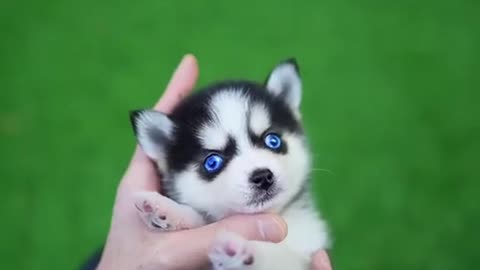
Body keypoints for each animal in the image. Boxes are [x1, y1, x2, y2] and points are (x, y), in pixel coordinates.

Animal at [131, 58, 330, 268]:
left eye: (273, 140)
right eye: (212, 162)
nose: (263, 177)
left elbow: (281, 259)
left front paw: (243, 255)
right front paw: (165, 209)